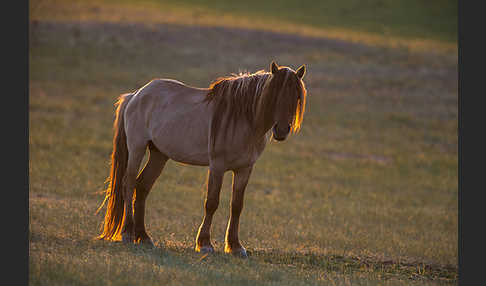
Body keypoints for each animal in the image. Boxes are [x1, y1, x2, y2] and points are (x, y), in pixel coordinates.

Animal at [96, 61, 308, 258]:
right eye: (274, 94)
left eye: (297, 97)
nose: (282, 130)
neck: (244, 120)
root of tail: (135, 95)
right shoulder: (217, 167)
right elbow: (212, 203)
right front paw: (205, 244)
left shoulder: (244, 169)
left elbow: (236, 206)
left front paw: (235, 246)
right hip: (137, 147)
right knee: (129, 183)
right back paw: (127, 233)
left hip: (159, 155)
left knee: (142, 187)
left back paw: (144, 237)